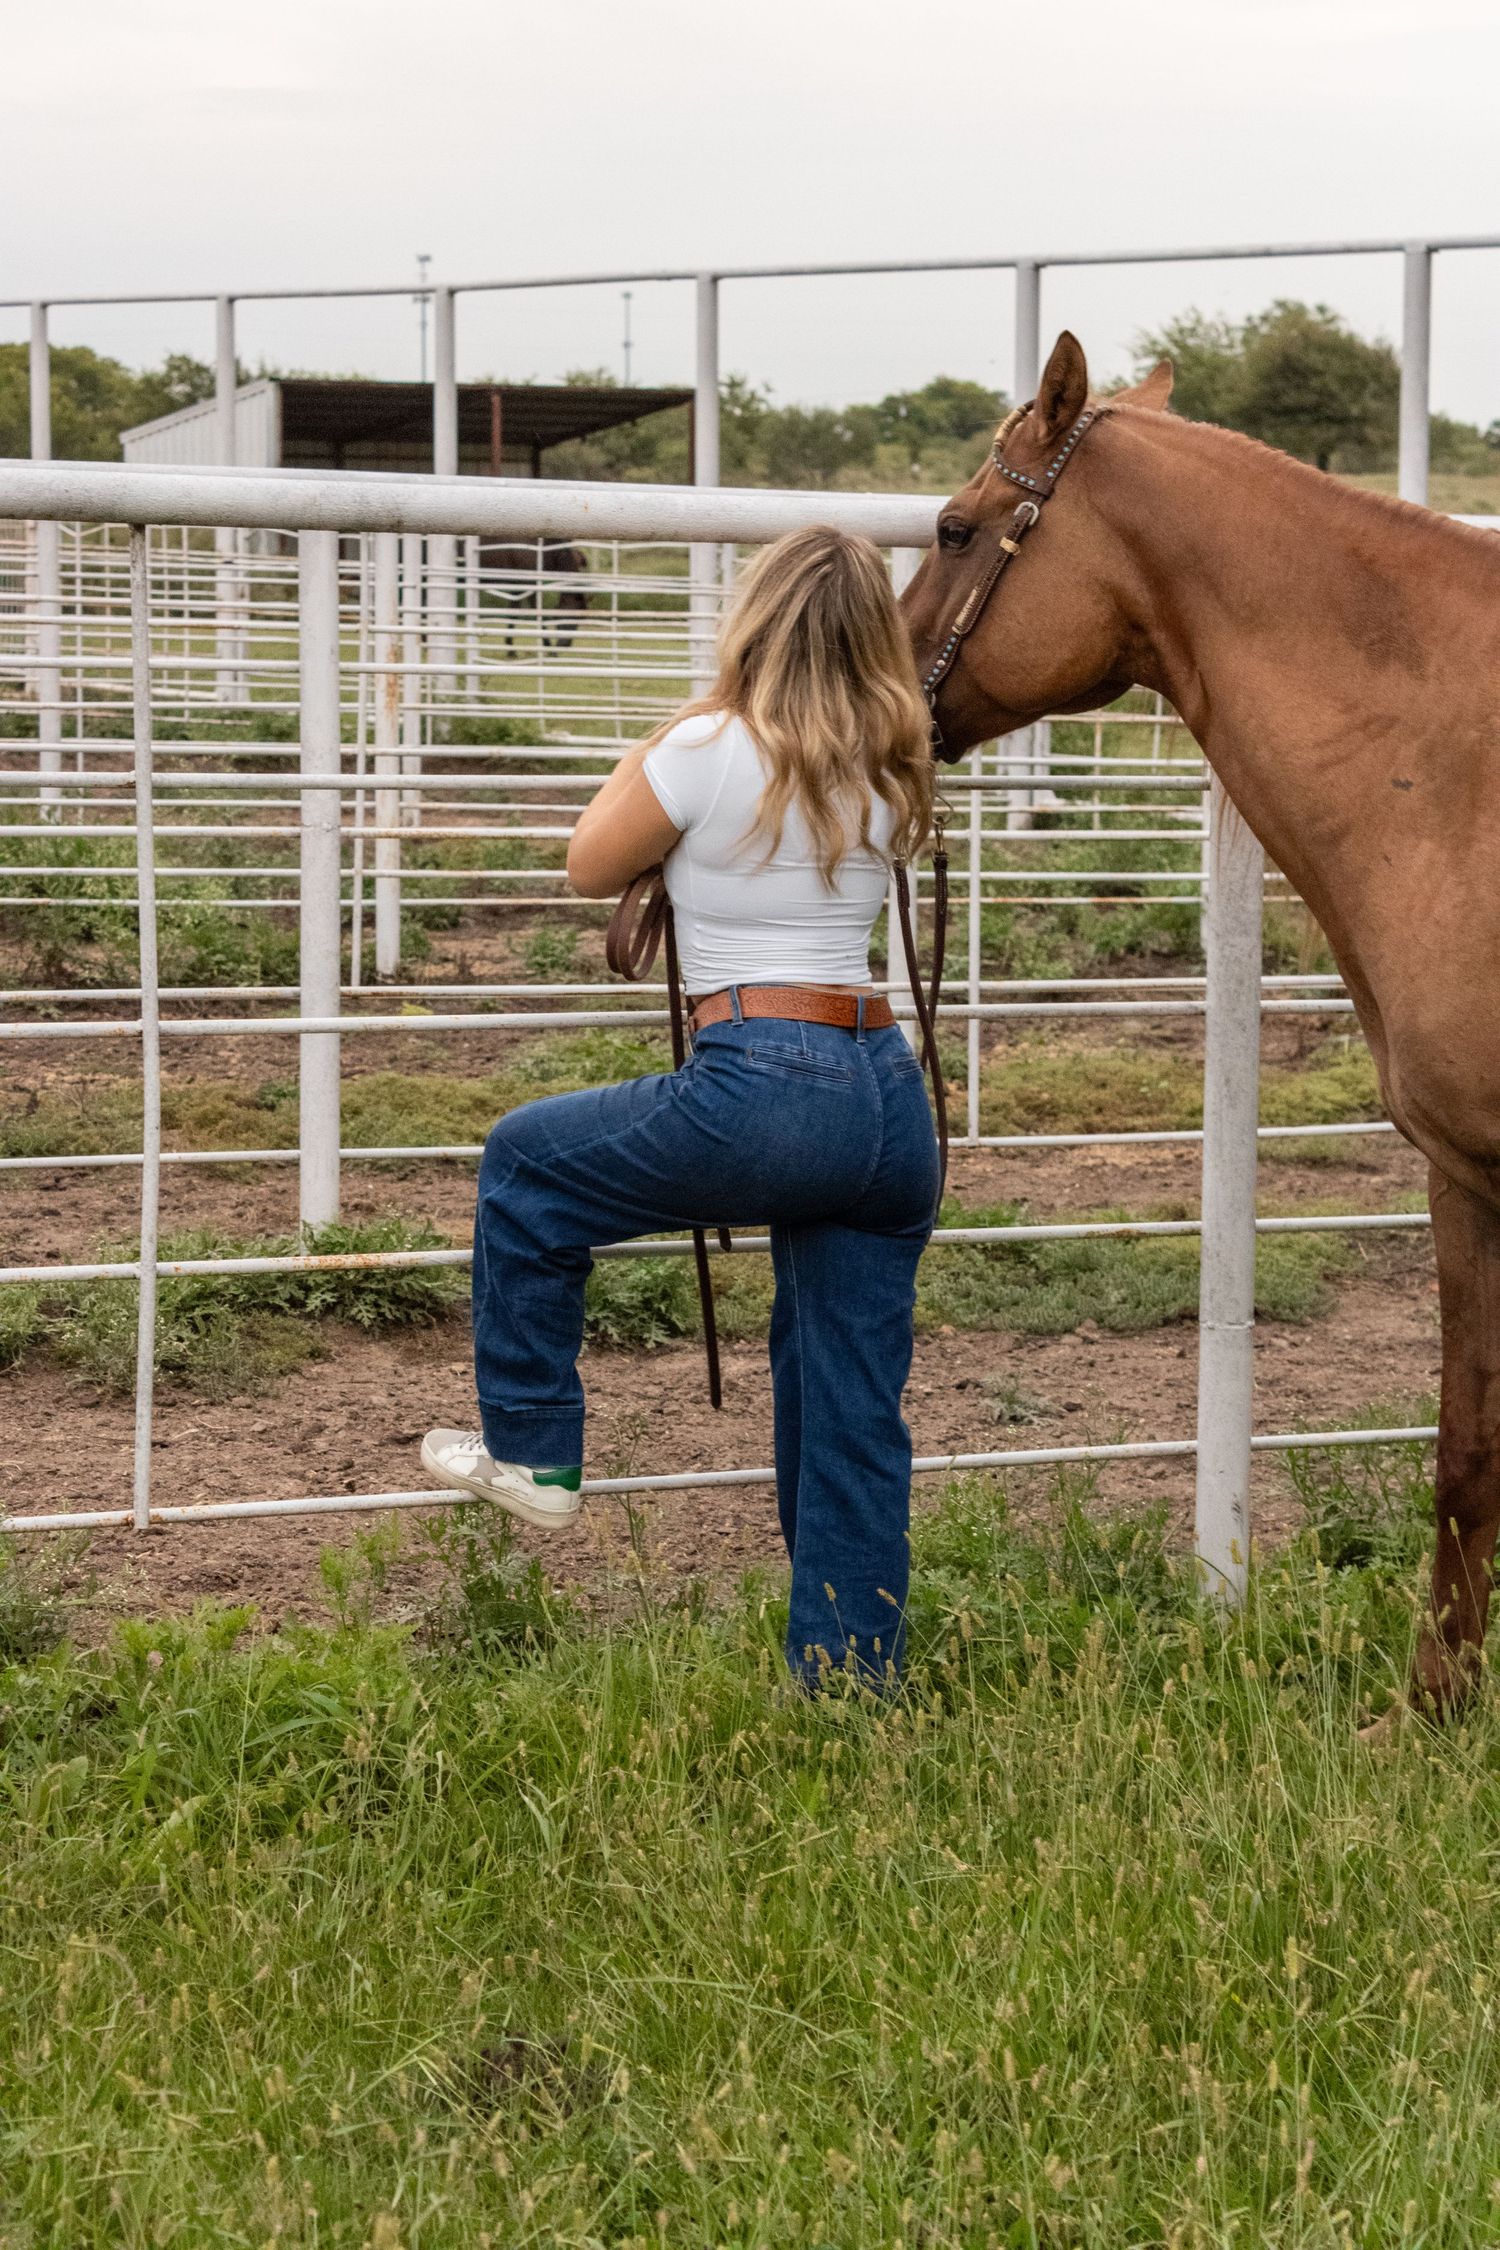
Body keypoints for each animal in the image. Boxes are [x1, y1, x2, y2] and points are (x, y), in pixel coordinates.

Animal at [901, 330, 1500, 1719]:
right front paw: (1437, 1704)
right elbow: (1467, 1453)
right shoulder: (1462, 1180)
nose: (884, 704)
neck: (1460, 780)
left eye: (957, 528)